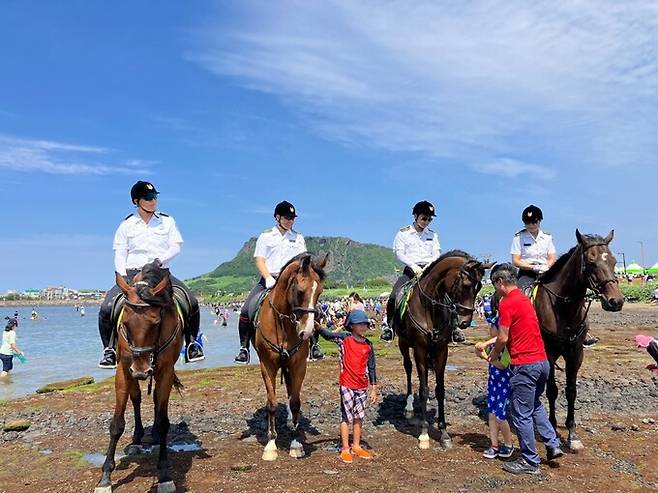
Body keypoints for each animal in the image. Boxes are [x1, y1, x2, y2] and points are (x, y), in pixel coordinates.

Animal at [95, 262, 183, 492]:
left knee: (155, 400)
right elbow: (116, 424)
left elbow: (163, 421)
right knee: (136, 398)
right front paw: (105, 477)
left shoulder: (165, 371)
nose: (141, 371)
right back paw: (137, 438)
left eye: (156, 322)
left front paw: (164, 475)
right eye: (125, 322)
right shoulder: (124, 371)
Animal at [255, 252, 328, 460]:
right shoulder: (267, 365)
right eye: (301, 291)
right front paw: (270, 445)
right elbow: (271, 404)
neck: (283, 324)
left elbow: (295, 403)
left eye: (319, 292)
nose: (307, 333)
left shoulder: (298, 365)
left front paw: (296, 443)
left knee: (290, 393)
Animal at [392, 252, 490, 448]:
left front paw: (444, 433)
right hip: (403, 343)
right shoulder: (420, 349)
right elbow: (423, 390)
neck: (429, 308)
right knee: (408, 369)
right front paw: (424, 434)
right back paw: (408, 407)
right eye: (466, 285)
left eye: (479, 287)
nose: (465, 322)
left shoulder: (441, 350)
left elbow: (439, 390)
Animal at [532, 230, 620, 450]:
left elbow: (571, 391)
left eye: (614, 261)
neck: (563, 307)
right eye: (590, 262)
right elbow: (552, 390)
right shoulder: (549, 353)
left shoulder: (576, 353)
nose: (615, 301)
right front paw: (553, 429)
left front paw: (572, 434)